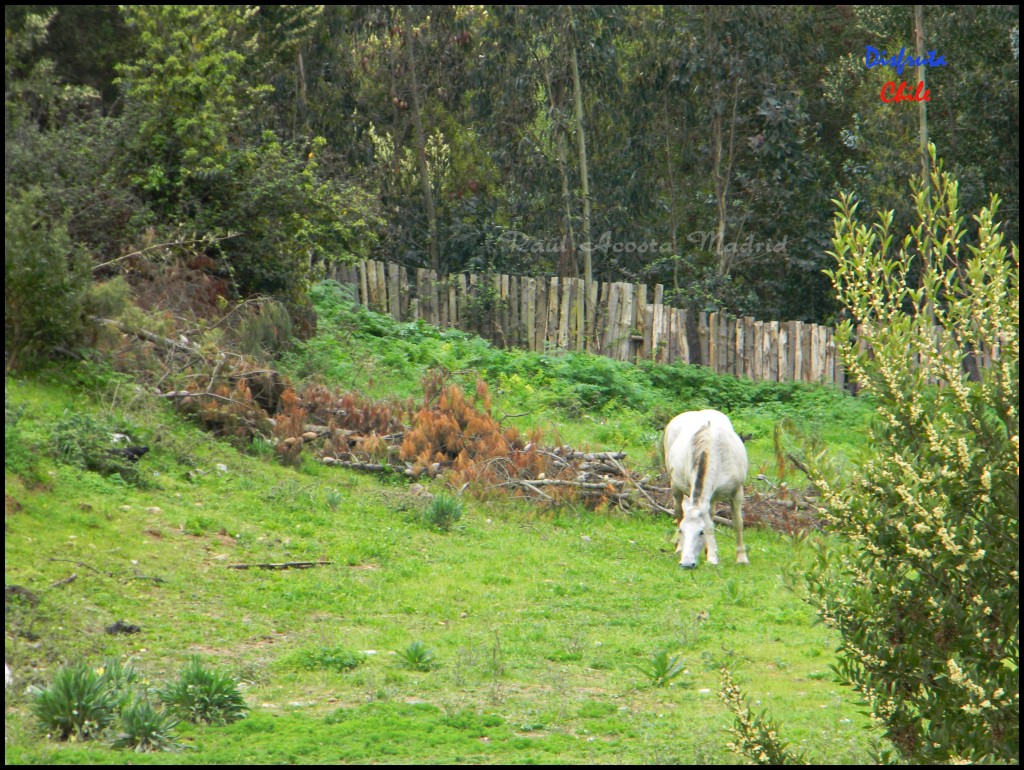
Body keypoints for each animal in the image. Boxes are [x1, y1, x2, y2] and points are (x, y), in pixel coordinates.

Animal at [659, 411, 749, 569]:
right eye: (681, 530)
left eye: (700, 532)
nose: (686, 563)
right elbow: (709, 525)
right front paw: (712, 557)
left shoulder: (737, 491)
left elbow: (738, 523)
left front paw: (741, 557)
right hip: (675, 486)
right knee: (679, 511)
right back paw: (680, 548)